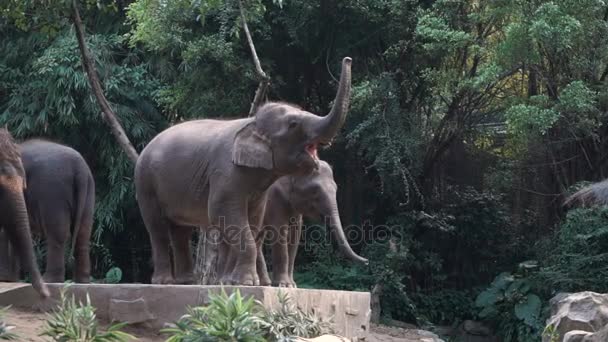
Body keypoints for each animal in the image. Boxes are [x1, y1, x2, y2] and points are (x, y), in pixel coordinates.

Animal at [0, 138, 95, 284]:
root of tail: (80, 168)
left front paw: (5, 279)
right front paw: (10, 279)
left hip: (53, 192)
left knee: (57, 232)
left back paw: (49, 280)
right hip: (89, 191)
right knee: (83, 234)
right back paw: (82, 281)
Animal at [133, 56, 352, 286]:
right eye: (293, 124)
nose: (348, 59)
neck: (251, 123)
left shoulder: (263, 193)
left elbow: (255, 221)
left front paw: (239, 282)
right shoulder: (226, 173)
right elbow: (226, 213)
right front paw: (249, 283)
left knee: (180, 230)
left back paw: (188, 282)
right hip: (145, 183)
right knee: (157, 228)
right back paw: (165, 282)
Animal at [221, 159, 368, 288]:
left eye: (336, 188)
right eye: (315, 190)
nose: (367, 262)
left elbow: (295, 235)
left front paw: (291, 285)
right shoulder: (275, 198)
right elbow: (280, 231)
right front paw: (283, 285)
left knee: (257, 239)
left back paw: (263, 283)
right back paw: (227, 283)